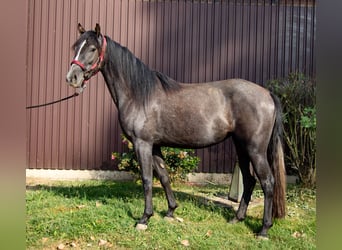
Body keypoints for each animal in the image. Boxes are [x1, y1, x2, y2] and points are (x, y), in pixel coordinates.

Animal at [65, 23, 284, 238]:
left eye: (92, 49)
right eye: (76, 47)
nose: (72, 77)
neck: (139, 95)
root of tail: (267, 94)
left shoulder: (142, 144)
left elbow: (147, 179)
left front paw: (144, 219)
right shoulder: (155, 146)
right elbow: (164, 177)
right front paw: (170, 211)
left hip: (255, 150)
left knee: (267, 182)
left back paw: (264, 230)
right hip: (241, 147)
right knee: (249, 180)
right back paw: (237, 218)